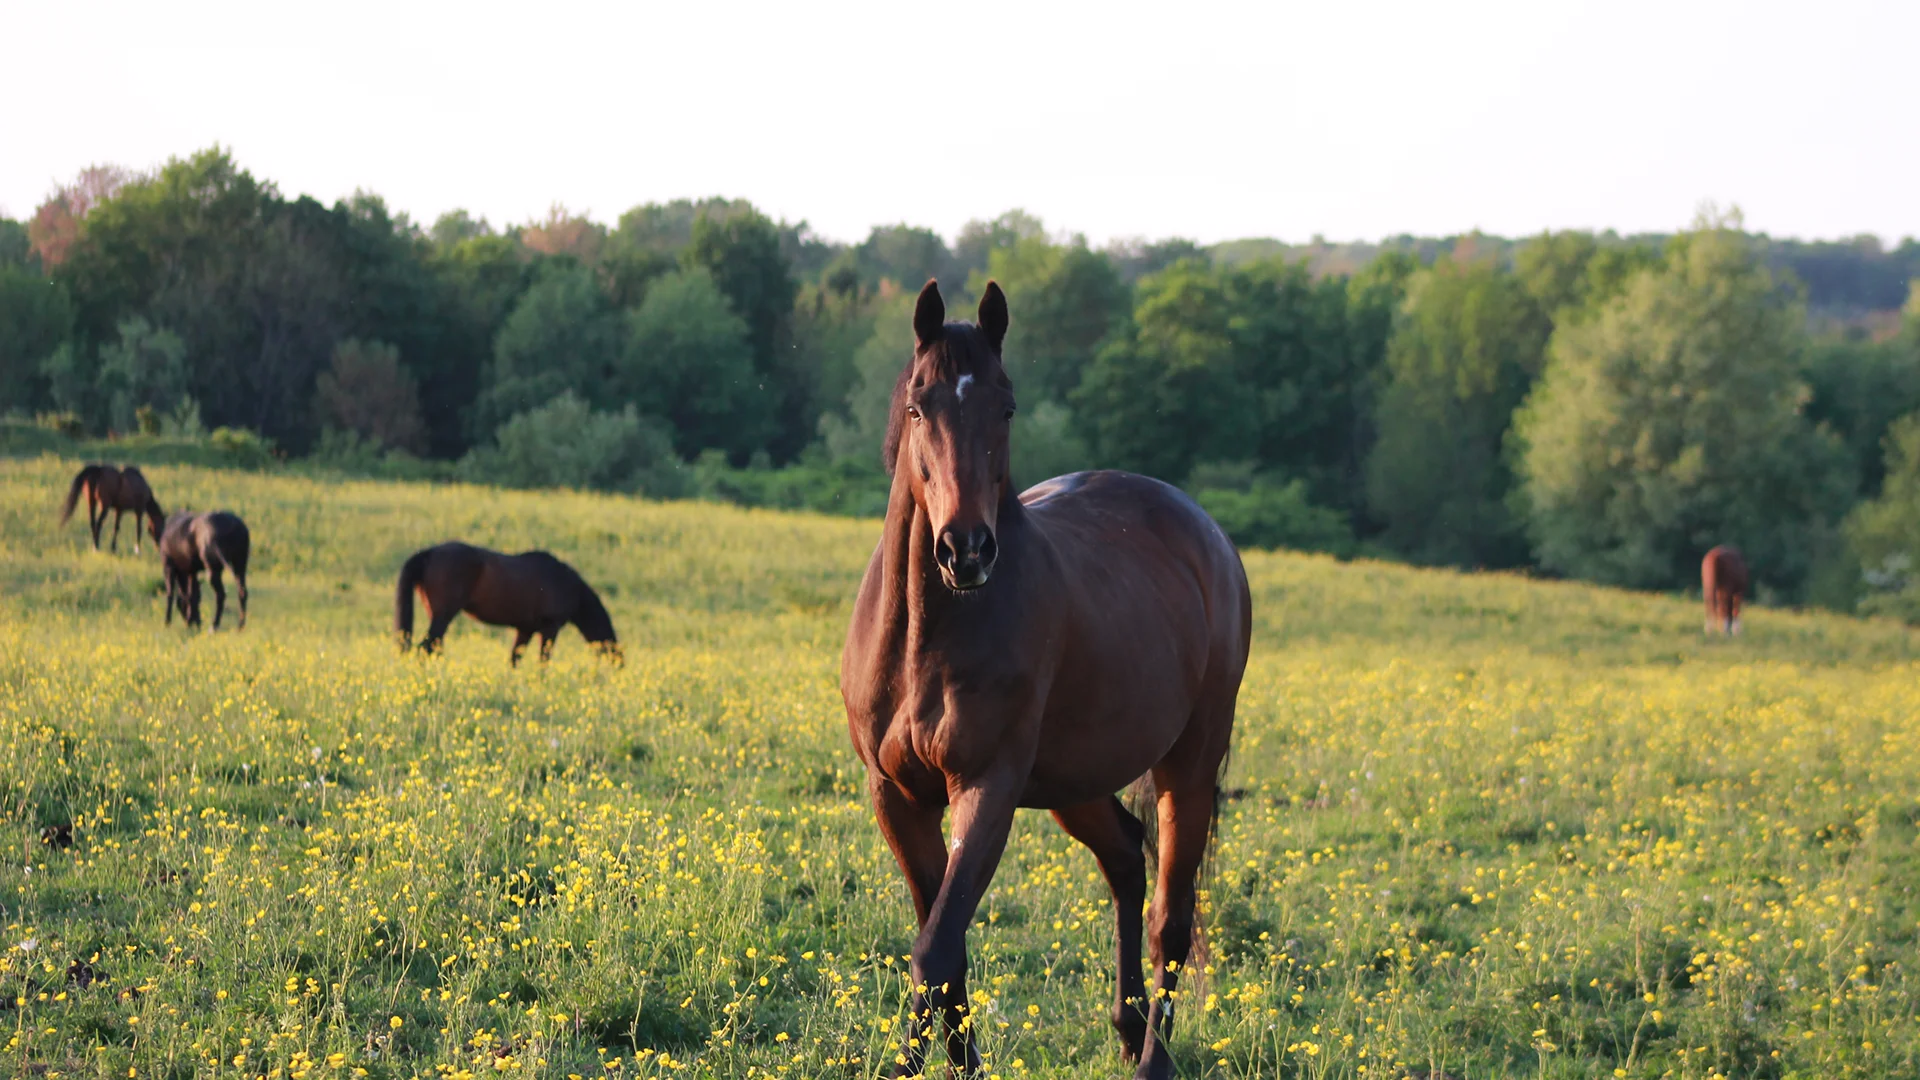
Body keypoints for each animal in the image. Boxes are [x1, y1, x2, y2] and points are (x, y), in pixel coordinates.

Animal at [394, 542, 621, 666]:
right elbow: (543, 660)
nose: (619, 664)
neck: (564, 583)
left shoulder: (525, 630)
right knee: (427, 646)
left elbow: (515, 659)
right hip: (443, 614)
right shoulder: (550, 628)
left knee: (434, 646)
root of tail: (429, 553)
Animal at [841, 281, 1252, 1080]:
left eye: (1005, 407)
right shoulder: (896, 796)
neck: (927, 634)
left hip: (1186, 766)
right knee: (1124, 857)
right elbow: (947, 949)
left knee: (1171, 916)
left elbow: (934, 949)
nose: (966, 549)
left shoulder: (987, 788)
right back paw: (1126, 1026)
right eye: (919, 405)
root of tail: (1207, 534)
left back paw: (1151, 1057)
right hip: (1076, 781)